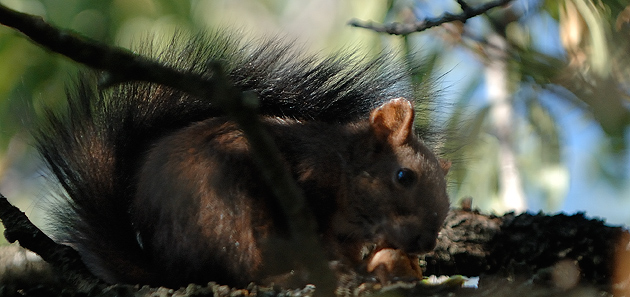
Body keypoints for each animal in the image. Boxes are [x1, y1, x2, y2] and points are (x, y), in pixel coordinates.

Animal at [34, 31, 452, 286]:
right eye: (404, 176)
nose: (425, 242)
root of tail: (168, 271)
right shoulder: (308, 180)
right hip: (226, 212)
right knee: (244, 270)